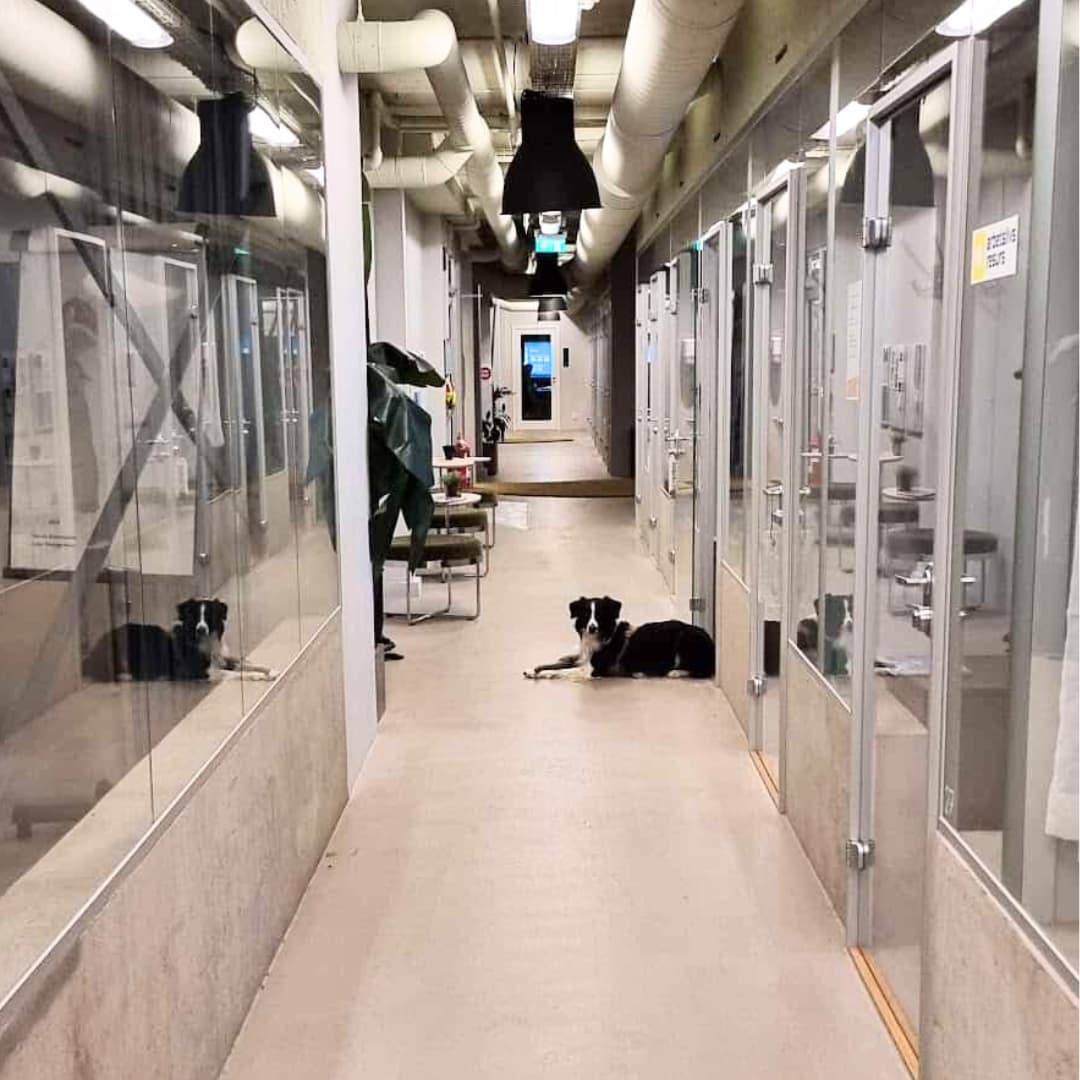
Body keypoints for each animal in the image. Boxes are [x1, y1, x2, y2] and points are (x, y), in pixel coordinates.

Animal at [91, 600, 276, 682]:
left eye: (209, 617)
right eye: (193, 617)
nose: (201, 629)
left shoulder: (222, 659)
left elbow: (245, 664)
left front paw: (268, 670)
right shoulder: (203, 671)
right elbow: (235, 673)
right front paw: (256, 676)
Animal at [524, 596, 717, 678]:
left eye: (599, 615)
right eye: (586, 614)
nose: (592, 627)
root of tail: (712, 644)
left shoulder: (592, 670)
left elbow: (561, 671)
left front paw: (545, 674)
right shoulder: (582, 658)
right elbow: (557, 663)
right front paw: (533, 669)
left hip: (686, 638)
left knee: (702, 671)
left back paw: (675, 672)